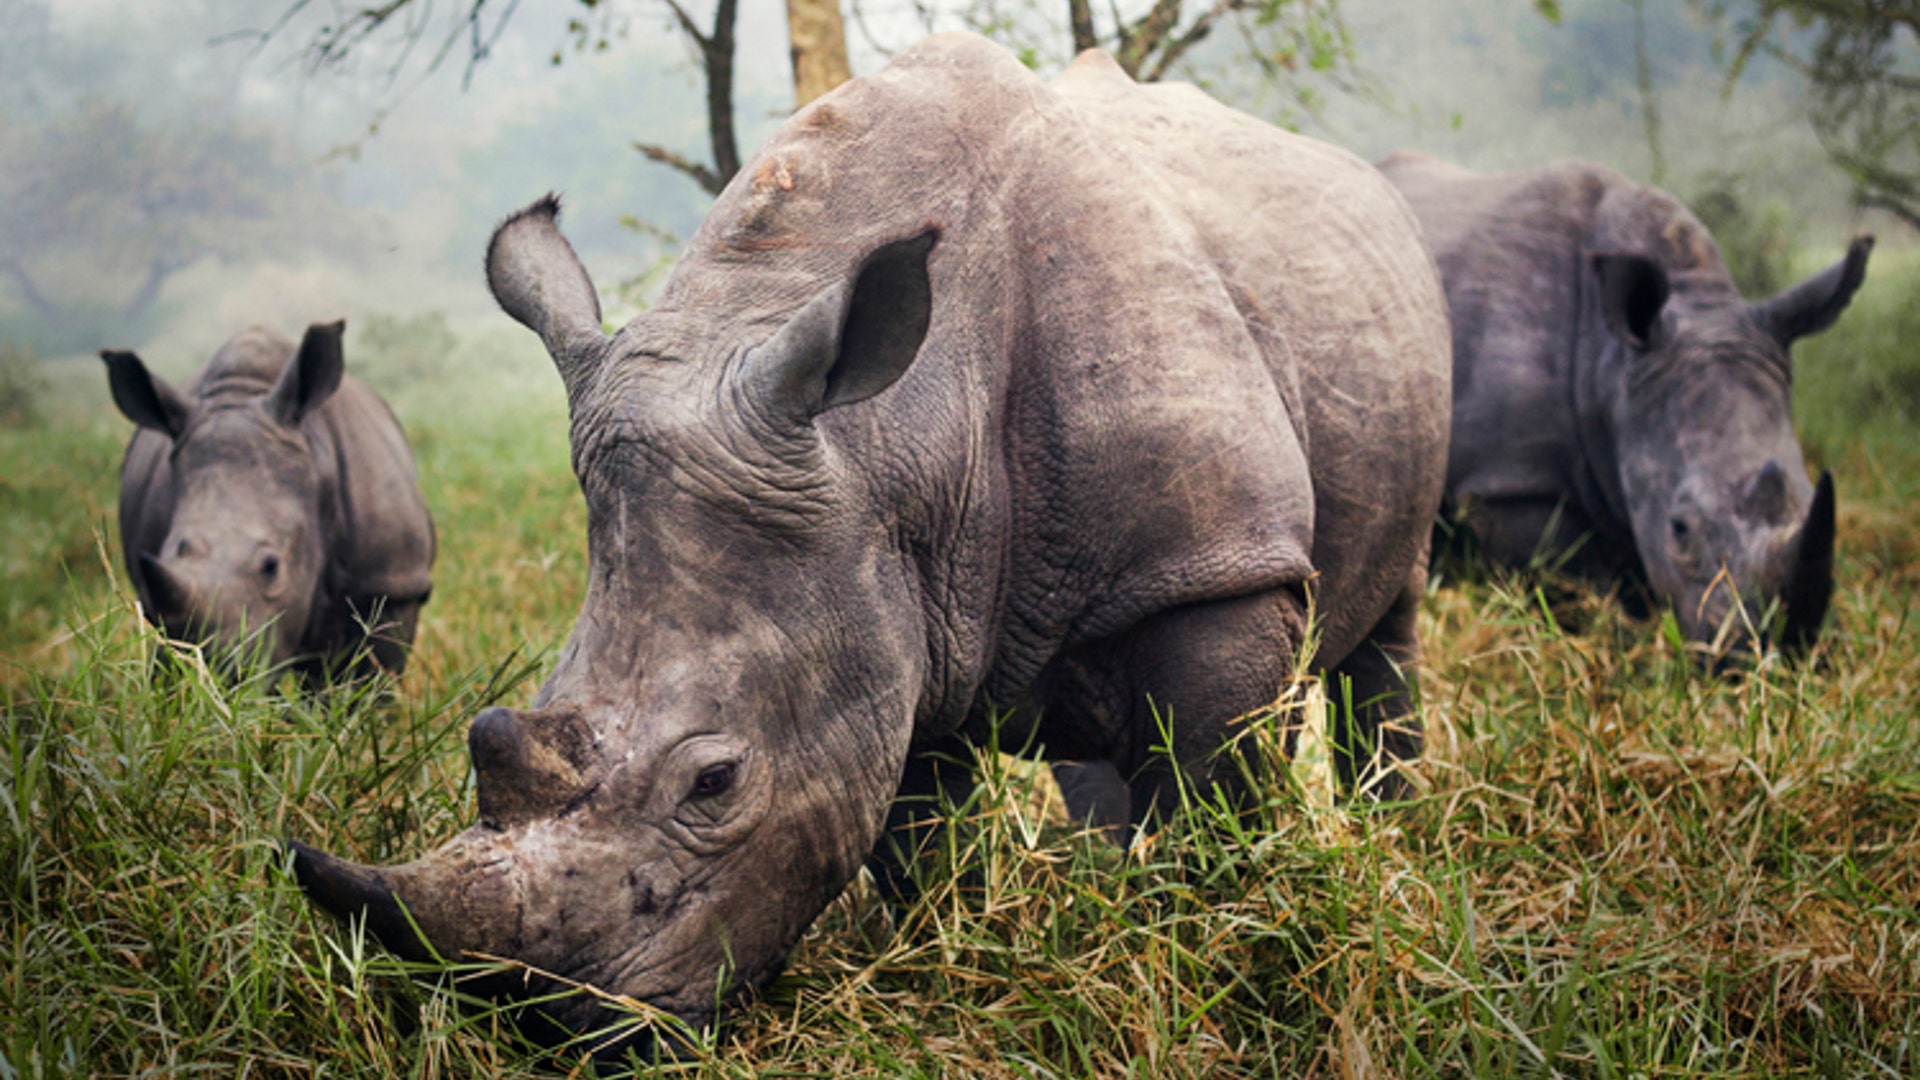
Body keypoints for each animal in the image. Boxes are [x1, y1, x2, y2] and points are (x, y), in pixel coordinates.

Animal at [289, 34, 1450, 1048]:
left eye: (716, 784)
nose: (557, 1028)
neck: (893, 438)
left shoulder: (1211, 567)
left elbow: (1208, 795)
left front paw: (1202, 959)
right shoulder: (891, 601)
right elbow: (914, 836)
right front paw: (950, 963)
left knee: (1379, 627)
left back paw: (1391, 838)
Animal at [1377, 152, 1867, 655]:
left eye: (1807, 494)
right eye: (1679, 530)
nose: (1779, 649)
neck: (1613, 365)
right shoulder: (1511, 481)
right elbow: (1570, 575)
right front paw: (1607, 632)